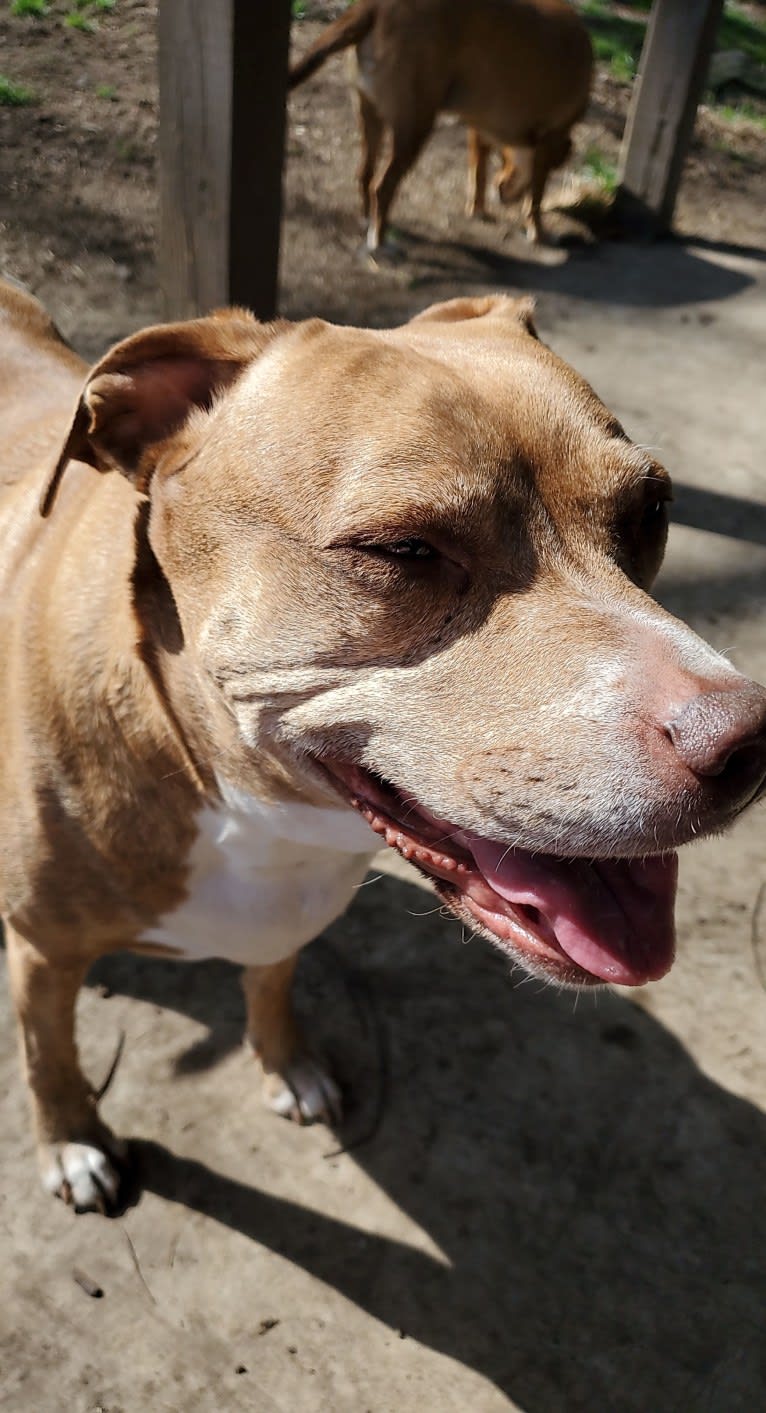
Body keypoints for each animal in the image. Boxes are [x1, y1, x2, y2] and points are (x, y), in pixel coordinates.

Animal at [1, 278, 766, 1215]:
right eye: (404, 548)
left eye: (652, 510)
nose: (745, 743)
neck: (248, 809)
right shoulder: (41, 956)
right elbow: (49, 1055)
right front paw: (73, 1142)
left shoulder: (286, 920)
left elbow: (273, 981)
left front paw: (286, 1061)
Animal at [288, 0, 593, 251]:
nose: (501, 192)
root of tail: (374, 5)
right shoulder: (548, 141)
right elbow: (535, 199)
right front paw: (538, 233)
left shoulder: (478, 131)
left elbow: (478, 176)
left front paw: (478, 209)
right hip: (414, 127)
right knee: (382, 186)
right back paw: (380, 240)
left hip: (370, 117)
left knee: (365, 175)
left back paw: (368, 220)